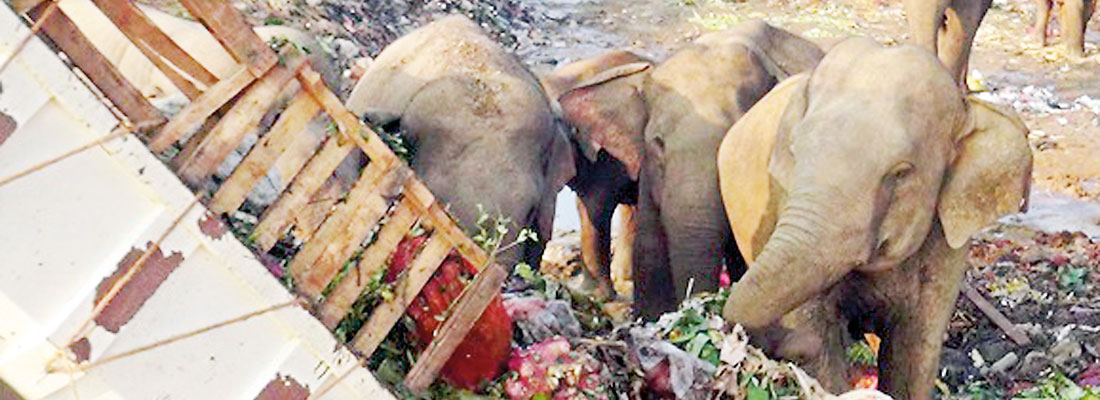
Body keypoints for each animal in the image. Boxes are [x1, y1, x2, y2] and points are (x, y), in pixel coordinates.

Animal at [717, 36, 1034, 397]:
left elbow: (914, 355)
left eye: (900, 173)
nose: (791, 346)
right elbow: (821, 345)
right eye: (795, 151)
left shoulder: (945, 242)